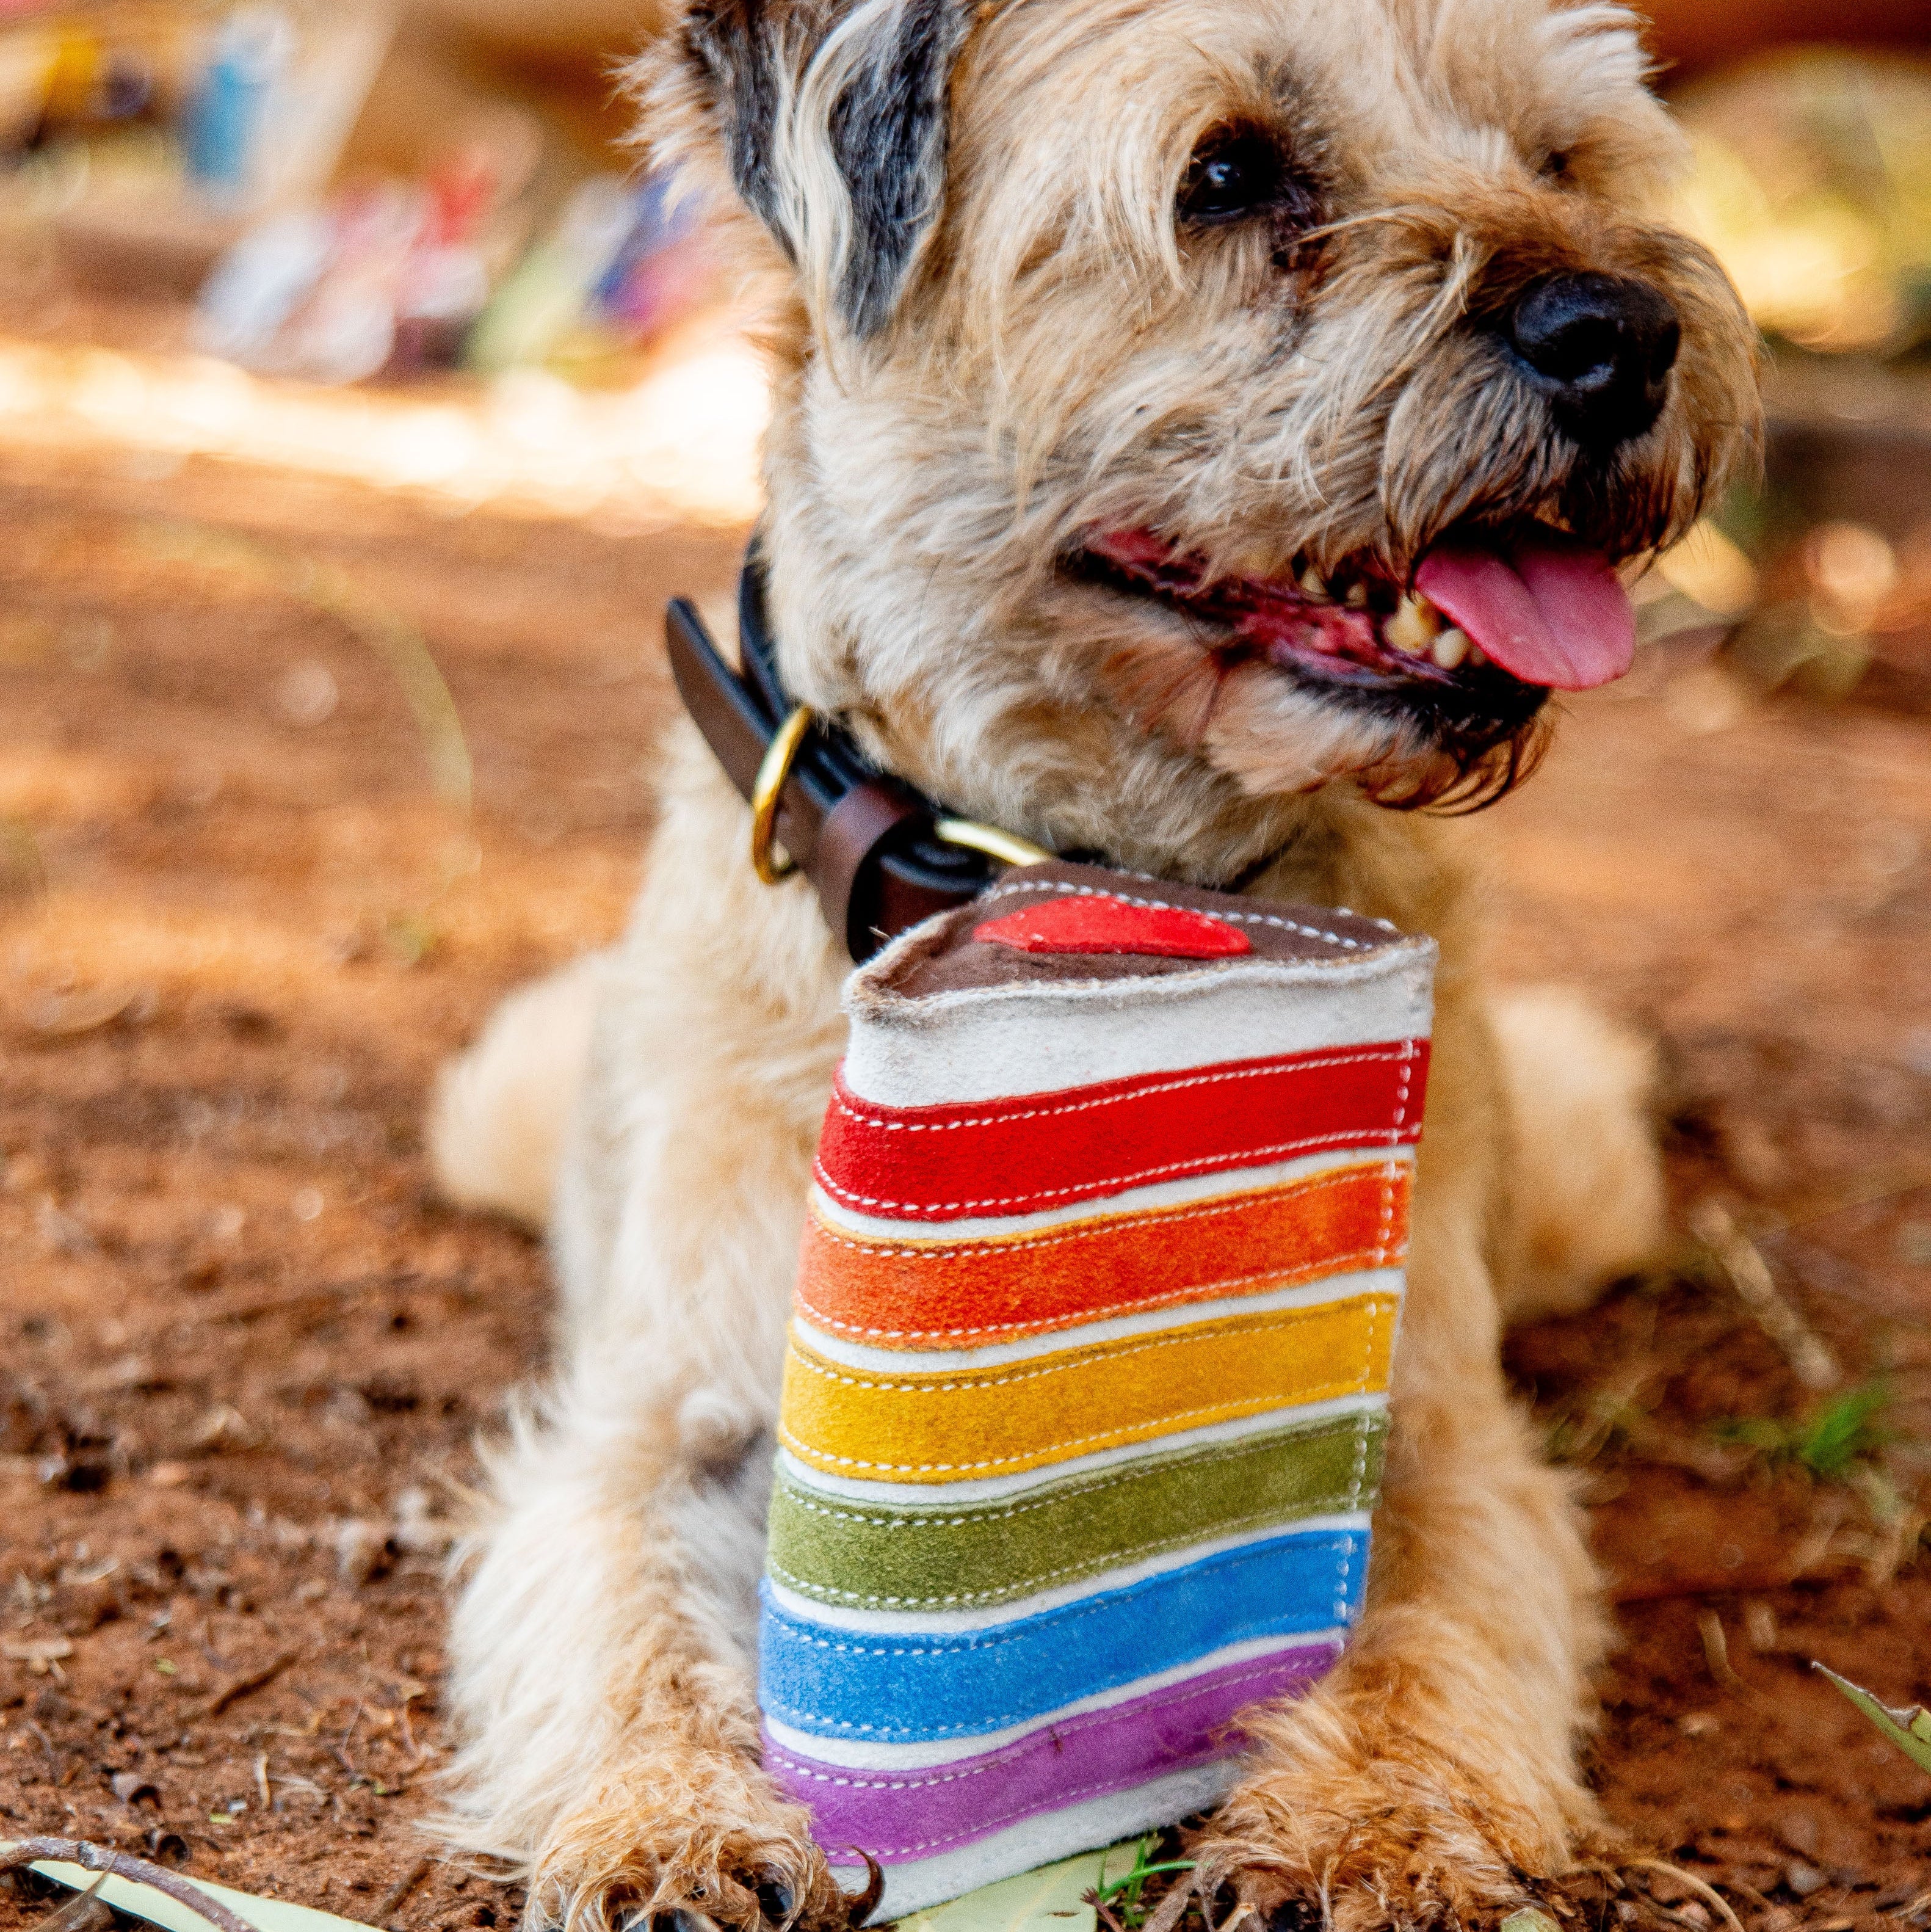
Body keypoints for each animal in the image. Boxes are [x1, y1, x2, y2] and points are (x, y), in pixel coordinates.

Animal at [434, 0, 1769, 1924]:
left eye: (1559, 158)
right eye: (1224, 174)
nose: (1622, 332)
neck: (1094, 874)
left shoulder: (1442, 1430)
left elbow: (1431, 1623)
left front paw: (1371, 1828)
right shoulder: (648, 1420)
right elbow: (614, 1613)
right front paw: (660, 1823)